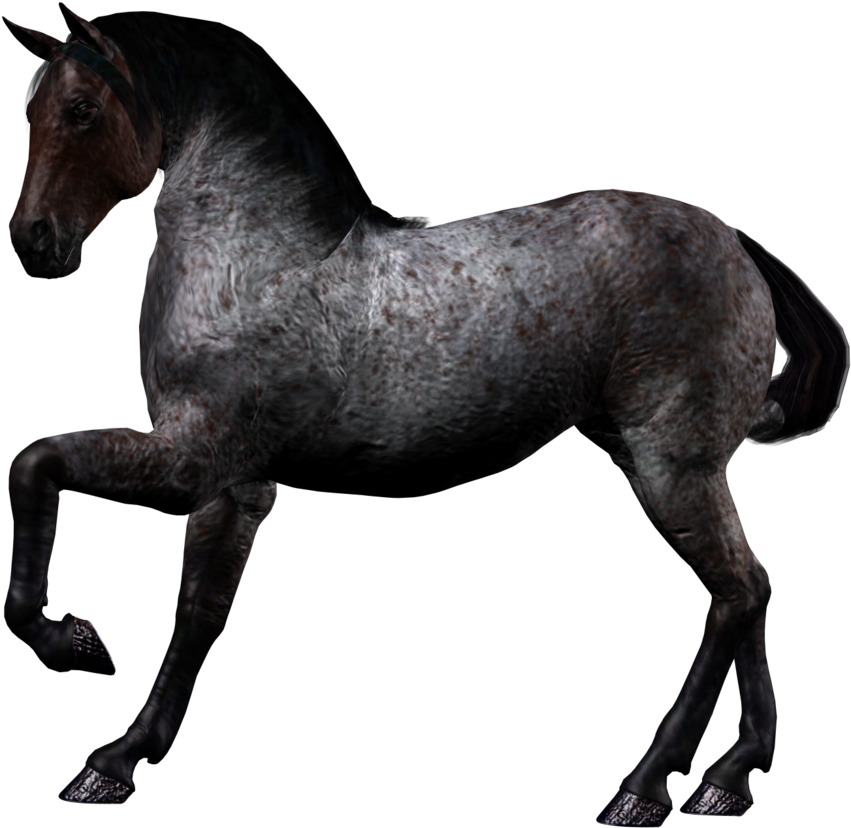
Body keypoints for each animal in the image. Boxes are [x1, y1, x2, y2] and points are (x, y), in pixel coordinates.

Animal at [3, 4, 847, 820]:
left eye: (81, 109)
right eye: (30, 106)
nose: (34, 242)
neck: (258, 260)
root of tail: (734, 241)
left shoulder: (196, 454)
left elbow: (37, 463)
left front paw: (77, 644)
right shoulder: (237, 488)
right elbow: (199, 613)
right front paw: (116, 763)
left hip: (676, 466)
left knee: (735, 595)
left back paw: (645, 790)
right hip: (664, 468)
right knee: (750, 588)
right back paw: (728, 781)